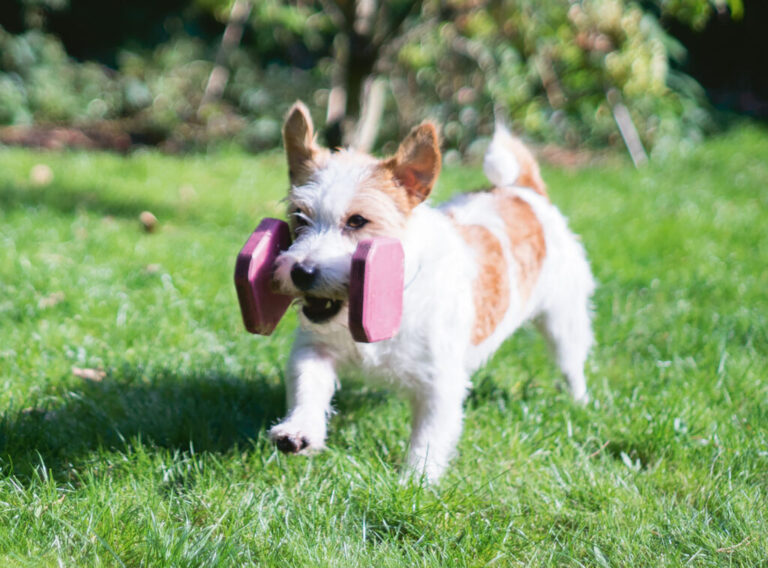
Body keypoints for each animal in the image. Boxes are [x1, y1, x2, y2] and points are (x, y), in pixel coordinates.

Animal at [268, 101, 596, 480]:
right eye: (299, 217)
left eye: (357, 221)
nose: (301, 271)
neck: (382, 300)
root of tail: (523, 192)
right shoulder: (316, 348)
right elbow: (309, 382)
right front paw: (300, 429)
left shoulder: (439, 383)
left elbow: (428, 435)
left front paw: (415, 481)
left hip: (563, 317)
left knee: (571, 361)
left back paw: (579, 401)